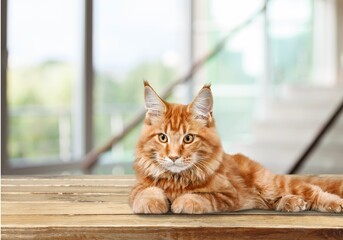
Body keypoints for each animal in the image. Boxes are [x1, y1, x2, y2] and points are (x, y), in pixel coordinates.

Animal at [130, 81, 343, 214]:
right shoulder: (139, 186)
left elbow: (201, 197)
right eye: (163, 138)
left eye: (188, 138)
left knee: (314, 190)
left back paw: (333, 203)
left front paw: (183, 201)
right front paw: (151, 202)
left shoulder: (228, 194)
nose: (173, 157)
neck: (177, 180)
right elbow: (146, 192)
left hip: (271, 184)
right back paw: (293, 202)